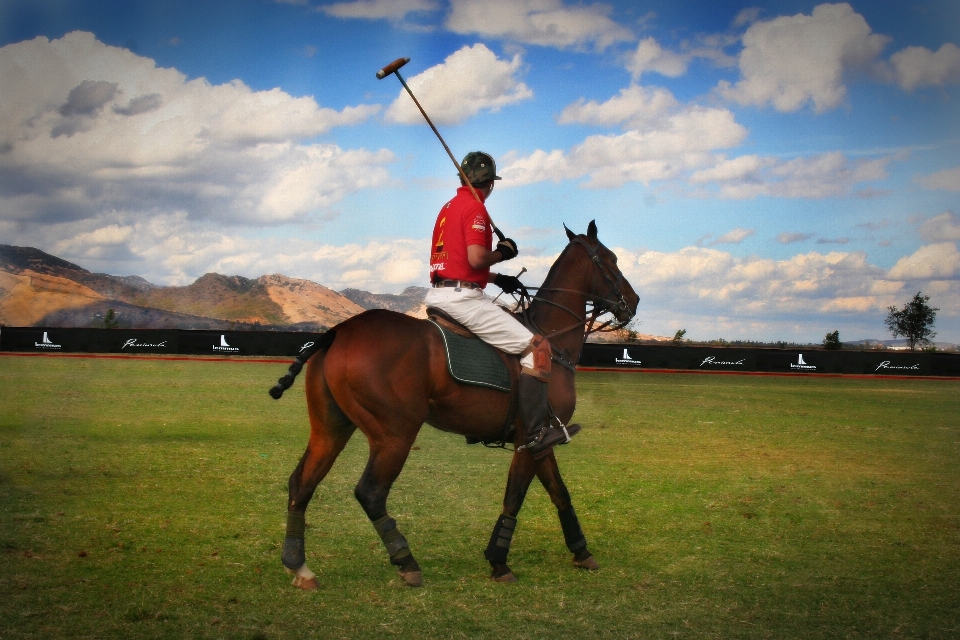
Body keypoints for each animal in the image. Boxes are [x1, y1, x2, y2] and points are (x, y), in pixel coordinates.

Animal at [266, 221, 636, 592]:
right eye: (612, 260)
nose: (632, 302)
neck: (553, 338)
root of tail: (337, 331)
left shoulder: (542, 438)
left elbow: (560, 493)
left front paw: (581, 551)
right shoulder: (527, 439)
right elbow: (514, 497)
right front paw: (498, 561)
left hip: (331, 427)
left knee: (301, 482)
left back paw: (299, 566)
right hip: (394, 434)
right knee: (370, 492)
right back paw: (406, 562)